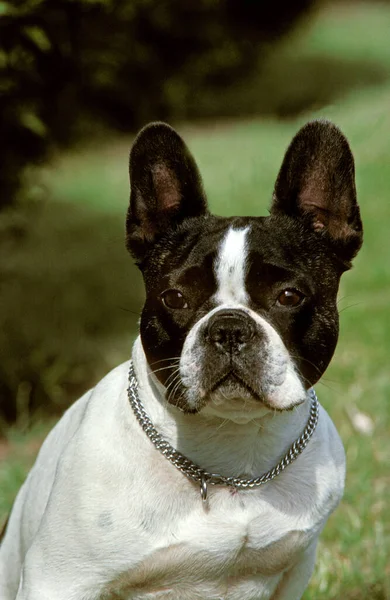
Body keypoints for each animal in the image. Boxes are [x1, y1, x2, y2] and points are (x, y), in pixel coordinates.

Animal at [0, 119, 362, 596]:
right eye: (175, 298)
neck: (230, 460)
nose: (229, 328)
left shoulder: (295, 567)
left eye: (289, 296)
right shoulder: (59, 579)